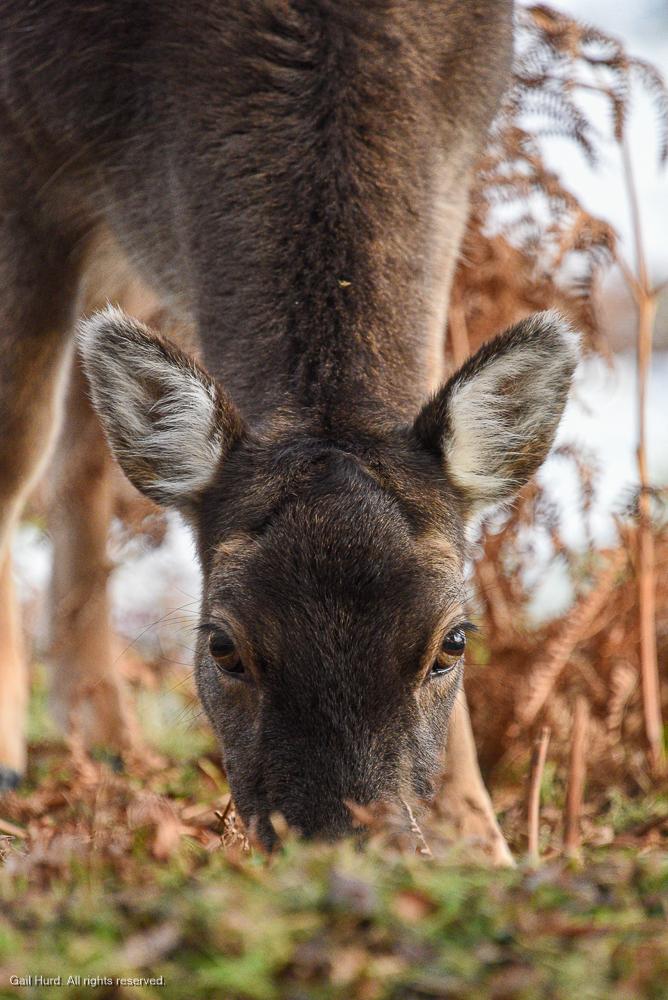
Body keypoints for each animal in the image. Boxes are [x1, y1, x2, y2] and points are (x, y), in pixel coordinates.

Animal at [0, 0, 578, 860]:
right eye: (222, 645)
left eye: (454, 641)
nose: (342, 842)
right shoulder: (26, 144)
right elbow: (14, 445)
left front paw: (480, 835)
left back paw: (105, 734)